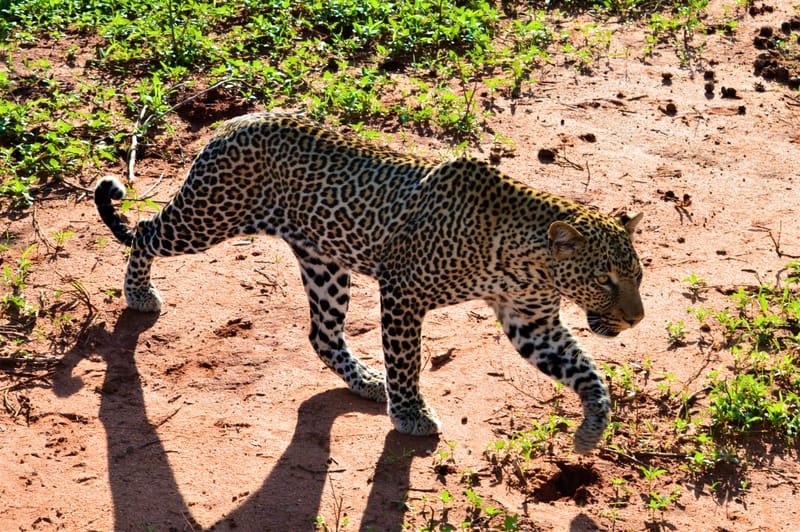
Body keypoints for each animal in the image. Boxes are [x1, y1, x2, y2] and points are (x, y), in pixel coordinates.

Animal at [95, 112, 644, 454]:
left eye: (636, 277)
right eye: (605, 279)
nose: (636, 320)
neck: (527, 263)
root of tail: (236, 121)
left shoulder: (533, 323)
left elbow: (587, 372)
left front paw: (591, 430)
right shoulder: (404, 292)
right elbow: (406, 362)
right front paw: (410, 413)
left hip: (323, 263)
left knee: (322, 333)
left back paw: (363, 381)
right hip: (208, 216)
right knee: (146, 230)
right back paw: (139, 293)